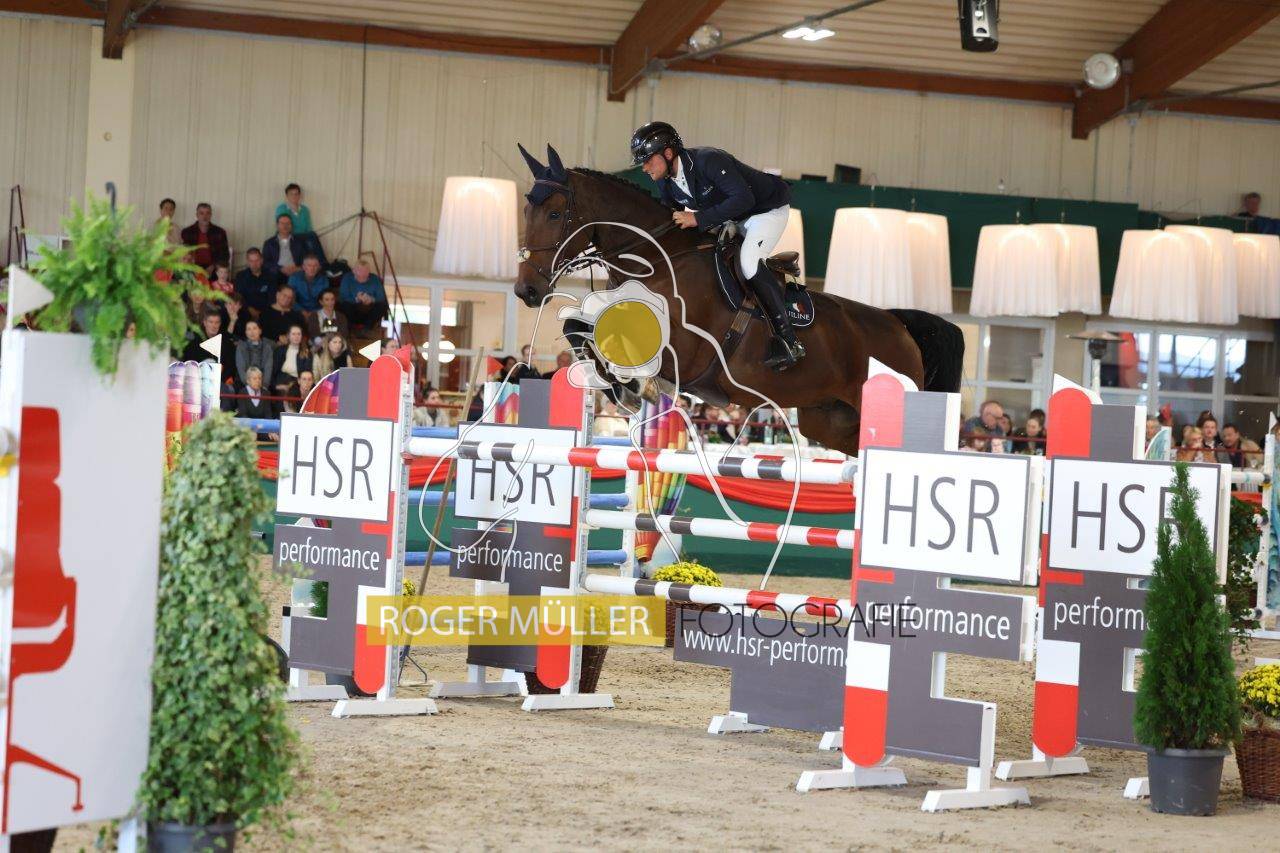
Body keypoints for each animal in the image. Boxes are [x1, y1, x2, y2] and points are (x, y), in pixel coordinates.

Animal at [513, 144, 964, 456]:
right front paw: (621, 387)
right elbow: (577, 325)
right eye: (525, 211)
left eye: (555, 214)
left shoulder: (683, 345)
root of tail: (898, 324)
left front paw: (632, 387)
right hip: (829, 421)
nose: (525, 291)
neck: (658, 256)